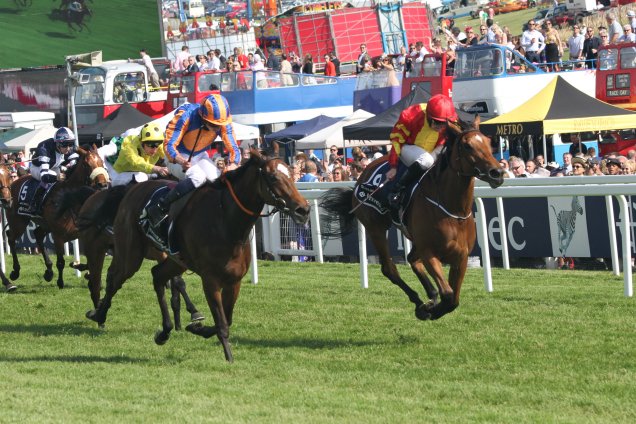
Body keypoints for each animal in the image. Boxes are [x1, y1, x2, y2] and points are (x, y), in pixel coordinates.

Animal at [3, 147, 109, 292]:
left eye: (101, 162)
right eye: (86, 164)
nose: (102, 184)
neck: (72, 200)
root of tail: (13, 183)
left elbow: (91, 260)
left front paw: (81, 269)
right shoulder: (58, 235)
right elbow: (61, 262)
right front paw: (60, 282)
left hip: (45, 225)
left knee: (37, 234)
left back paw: (48, 271)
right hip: (18, 222)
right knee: (11, 237)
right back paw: (15, 272)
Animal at [86, 151, 310, 362]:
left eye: (291, 174)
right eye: (273, 177)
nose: (304, 209)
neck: (226, 221)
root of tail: (132, 189)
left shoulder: (234, 280)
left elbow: (226, 319)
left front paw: (197, 328)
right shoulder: (210, 280)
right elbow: (222, 323)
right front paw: (229, 359)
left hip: (177, 261)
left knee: (157, 275)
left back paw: (165, 331)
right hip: (130, 253)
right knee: (114, 279)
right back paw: (99, 314)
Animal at [320, 116, 504, 322]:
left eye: (488, 142)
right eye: (467, 146)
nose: (497, 173)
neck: (452, 210)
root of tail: (361, 176)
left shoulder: (461, 257)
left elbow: (454, 298)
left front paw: (433, 304)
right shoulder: (429, 252)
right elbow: (448, 295)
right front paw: (430, 310)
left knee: (411, 259)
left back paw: (430, 295)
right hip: (376, 228)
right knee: (389, 268)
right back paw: (419, 301)